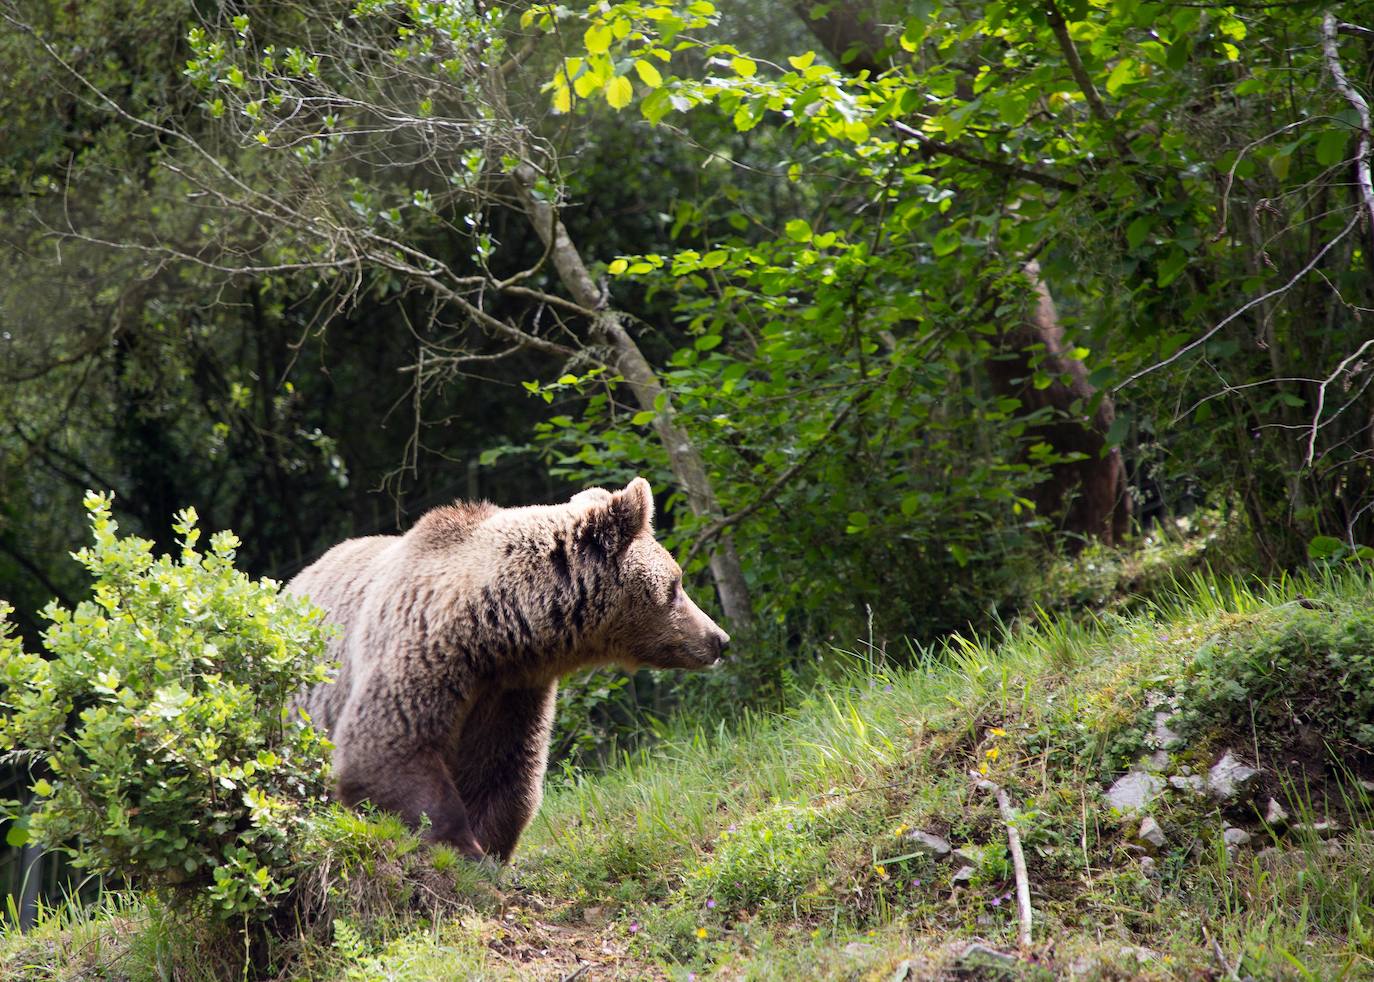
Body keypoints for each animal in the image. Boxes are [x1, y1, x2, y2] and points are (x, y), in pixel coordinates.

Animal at [288, 475, 730, 862]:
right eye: (676, 584)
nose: (719, 638)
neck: (495, 629)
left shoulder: (510, 691)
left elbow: (503, 772)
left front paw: (489, 848)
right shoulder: (422, 648)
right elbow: (385, 748)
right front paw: (464, 851)